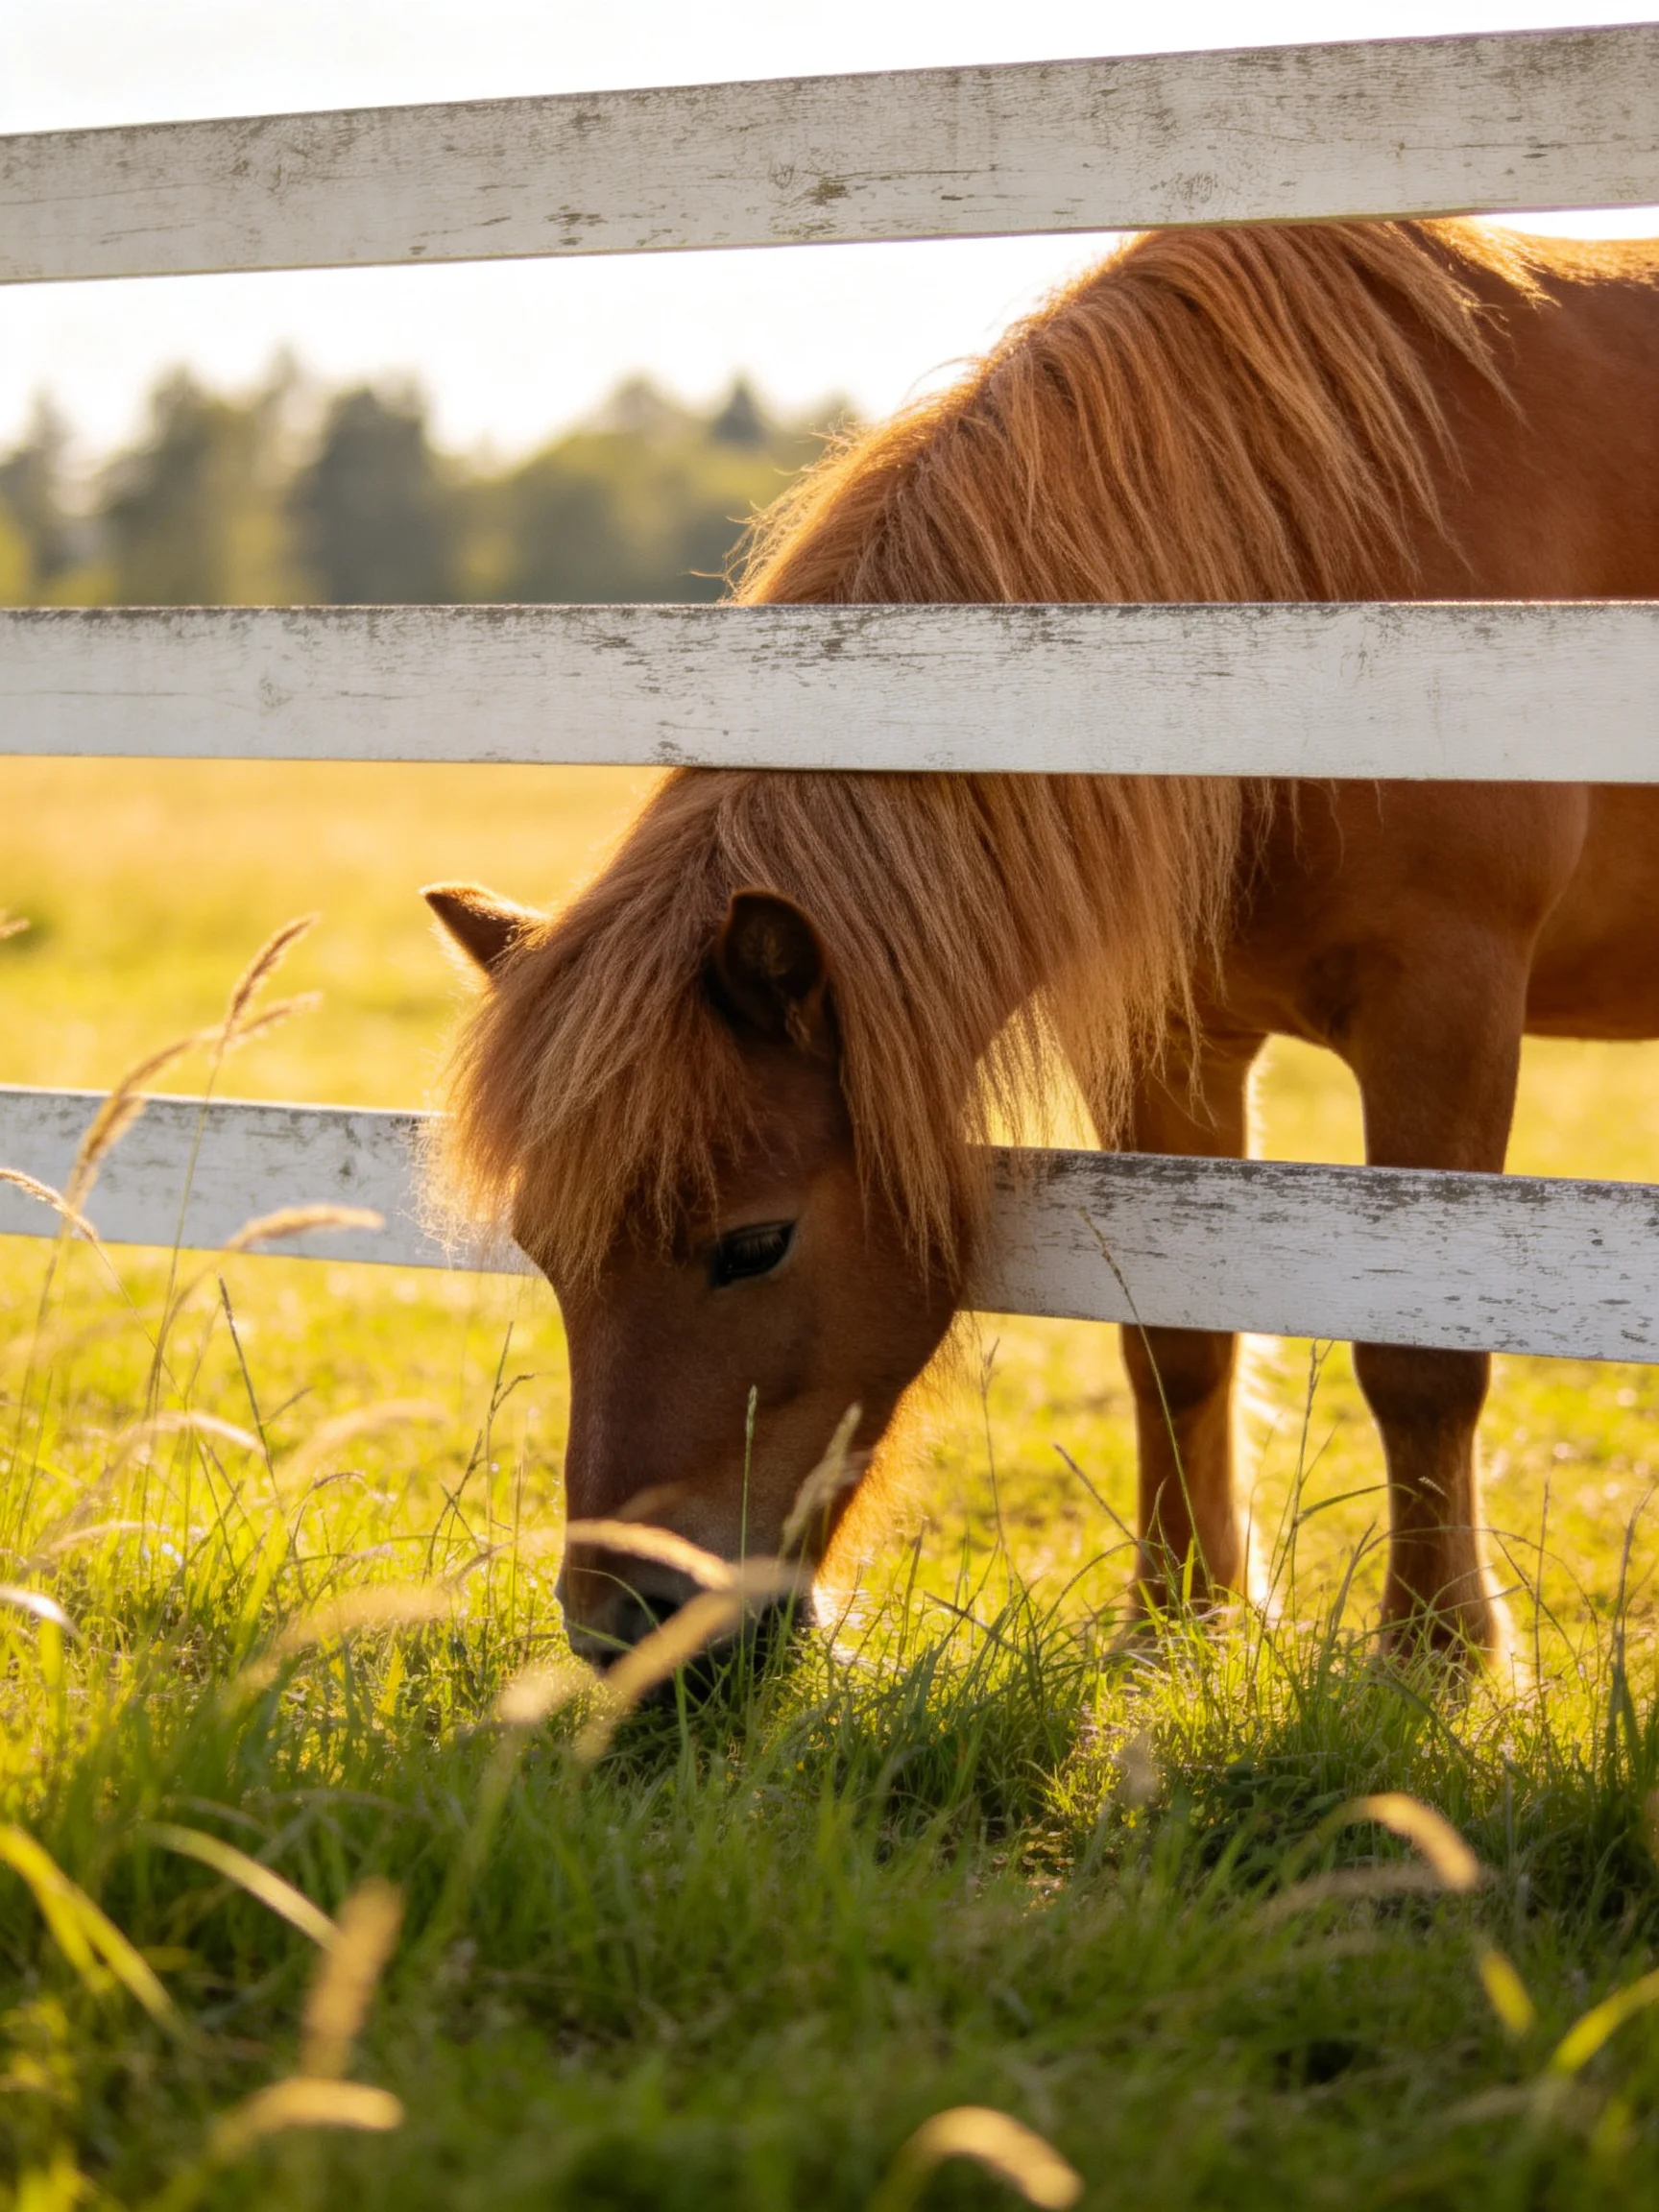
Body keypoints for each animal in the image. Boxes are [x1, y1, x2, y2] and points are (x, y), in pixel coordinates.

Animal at [424, 218, 1659, 1666]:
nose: (625, 1630)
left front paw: (1438, 1658)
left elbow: (1420, 1357)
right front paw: (1173, 1628)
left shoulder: (1445, 1005)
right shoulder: (1176, 1034)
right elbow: (1175, 1343)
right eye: (544, 1250)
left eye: (754, 1244)